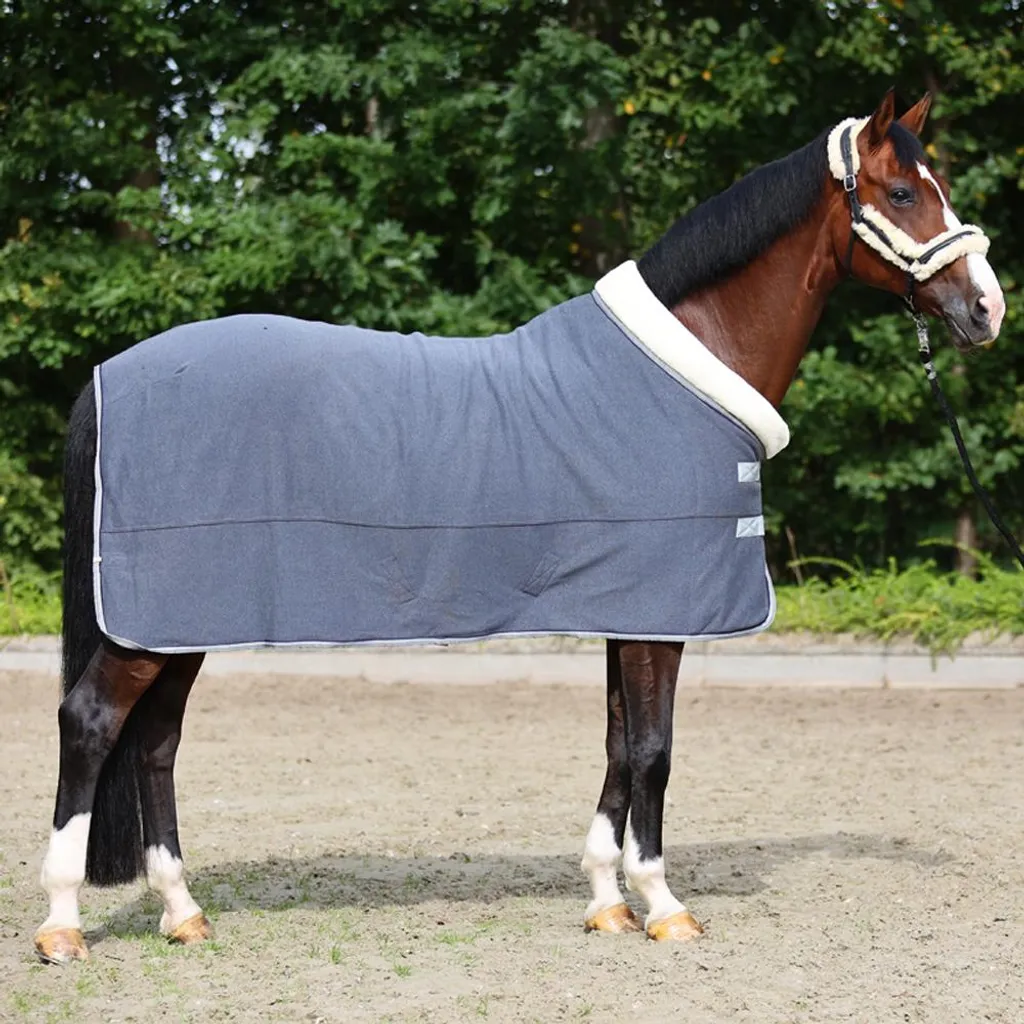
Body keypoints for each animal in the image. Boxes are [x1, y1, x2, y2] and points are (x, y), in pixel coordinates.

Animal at [34, 89, 1005, 963]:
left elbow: (618, 745)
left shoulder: (630, 608)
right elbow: (653, 751)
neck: (686, 366)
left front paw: (607, 902)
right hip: (151, 625)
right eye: (905, 192)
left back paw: (182, 912)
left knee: (155, 744)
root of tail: (108, 374)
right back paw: (61, 926)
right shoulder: (660, 614)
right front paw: (663, 905)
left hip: (177, 624)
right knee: (90, 722)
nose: (988, 309)